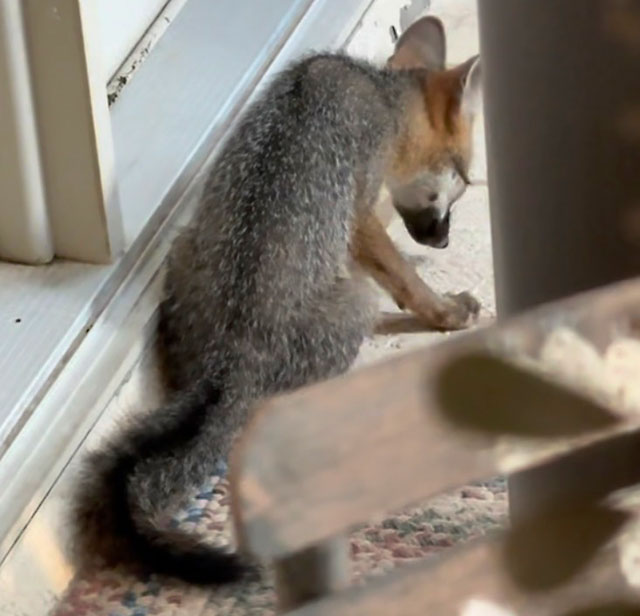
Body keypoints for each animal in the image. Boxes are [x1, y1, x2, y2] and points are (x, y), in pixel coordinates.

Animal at [73, 16, 482, 586]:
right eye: (464, 181)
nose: (442, 243)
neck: (377, 90)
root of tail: (230, 362)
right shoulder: (358, 209)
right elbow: (399, 275)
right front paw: (443, 309)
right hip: (355, 300)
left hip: (184, 245)